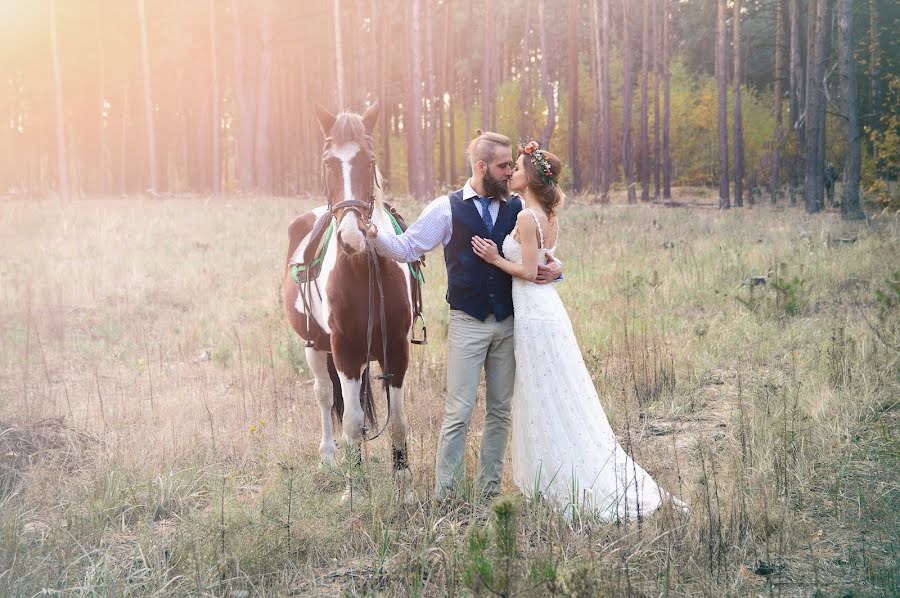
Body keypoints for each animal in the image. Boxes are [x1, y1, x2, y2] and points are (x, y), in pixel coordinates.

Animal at [284, 99, 416, 492]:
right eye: (328, 162)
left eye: (369, 161)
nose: (352, 235)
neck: (362, 269)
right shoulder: (343, 351)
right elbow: (352, 423)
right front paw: (354, 485)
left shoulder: (396, 349)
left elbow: (398, 418)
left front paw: (402, 481)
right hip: (317, 348)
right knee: (326, 396)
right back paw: (330, 456)